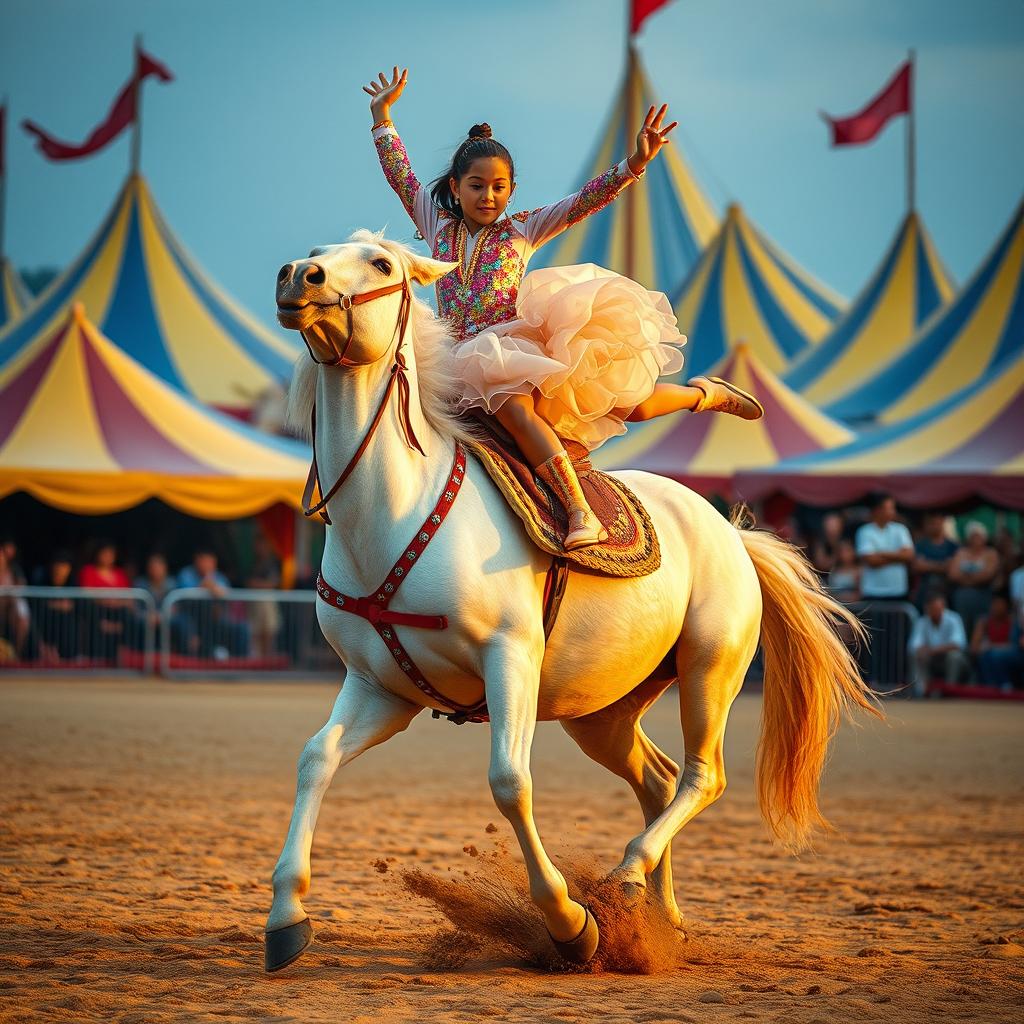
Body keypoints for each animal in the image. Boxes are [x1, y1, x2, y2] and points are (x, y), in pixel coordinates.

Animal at [262, 228, 872, 970]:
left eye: (380, 263)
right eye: (318, 250)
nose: (298, 275)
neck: (394, 514)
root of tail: (731, 531)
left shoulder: (510, 660)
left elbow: (510, 781)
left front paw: (569, 923)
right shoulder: (379, 687)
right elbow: (314, 759)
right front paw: (286, 916)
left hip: (711, 668)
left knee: (703, 777)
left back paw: (625, 879)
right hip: (602, 710)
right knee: (659, 780)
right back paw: (658, 917)